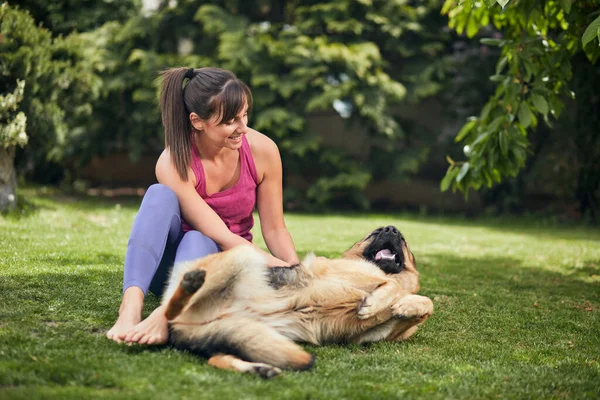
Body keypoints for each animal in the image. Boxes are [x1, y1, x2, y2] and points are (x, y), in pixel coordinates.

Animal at [161, 225, 432, 378]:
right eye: (375, 233)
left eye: (403, 240)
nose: (391, 228)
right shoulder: (341, 273)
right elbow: (392, 286)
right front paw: (376, 302)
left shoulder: (373, 333)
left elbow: (424, 303)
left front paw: (407, 305)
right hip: (242, 254)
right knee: (167, 310)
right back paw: (189, 284)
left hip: (235, 336)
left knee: (216, 357)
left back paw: (258, 369)